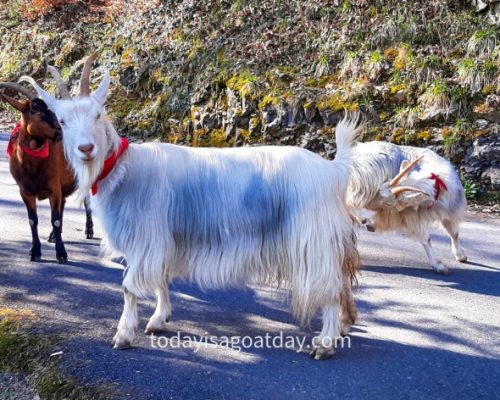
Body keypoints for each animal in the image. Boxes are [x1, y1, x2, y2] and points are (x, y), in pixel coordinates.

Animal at [346, 141, 466, 276]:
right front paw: (439, 265)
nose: (368, 207)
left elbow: (454, 233)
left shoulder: (446, 210)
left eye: (389, 203)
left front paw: (460, 256)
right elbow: (426, 239)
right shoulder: (412, 217)